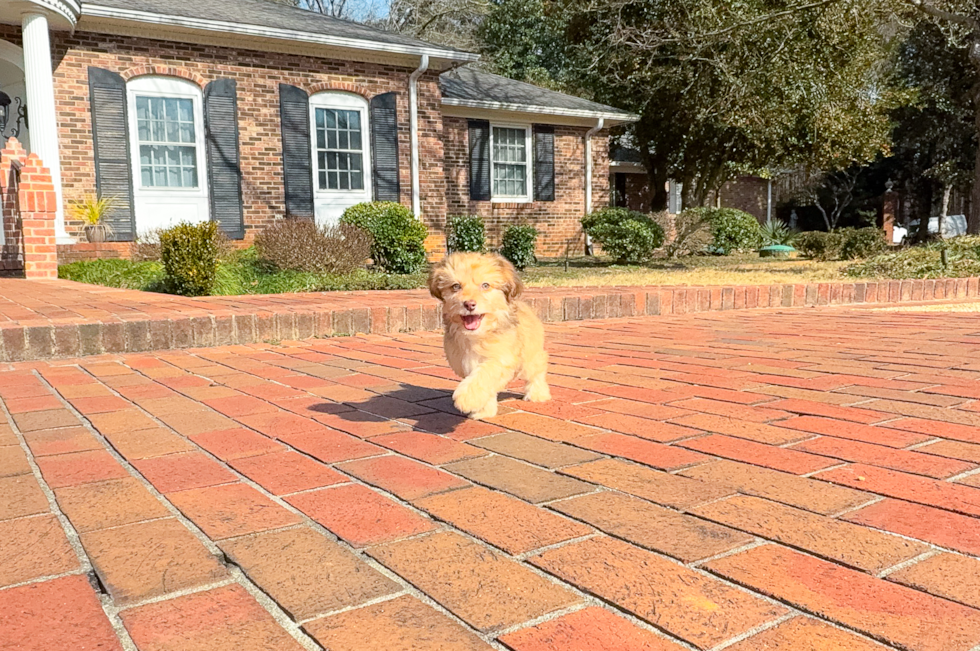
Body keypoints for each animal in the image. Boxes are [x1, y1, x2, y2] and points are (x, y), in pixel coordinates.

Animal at [428, 252, 552, 420]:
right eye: (456, 286)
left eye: (485, 285)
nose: (469, 304)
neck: (477, 336)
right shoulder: (464, 363)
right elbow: (486, 387)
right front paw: (483, 410)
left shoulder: (502, 358)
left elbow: (484, 374)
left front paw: (467, 398)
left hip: (529, 358)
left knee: (537, 371)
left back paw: (538, 394)